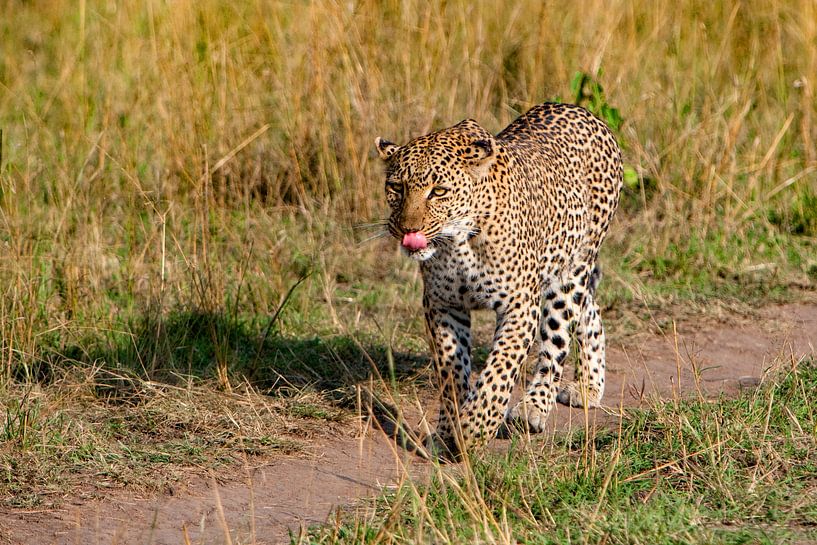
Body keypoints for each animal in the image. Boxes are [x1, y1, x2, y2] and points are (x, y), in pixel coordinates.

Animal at [375, 102, 622, 459]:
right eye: (396, 188)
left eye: (438, 191)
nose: (408, 230)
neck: (457, 243)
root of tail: (579, 110)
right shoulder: (442, 305)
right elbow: (453, 374)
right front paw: (448, 432)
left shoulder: (519, 305)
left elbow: (499, 371)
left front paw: (474, 430)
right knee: (590, 312)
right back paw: (589, 387)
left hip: (569, 273)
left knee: (557, 342)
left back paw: (535, 406)